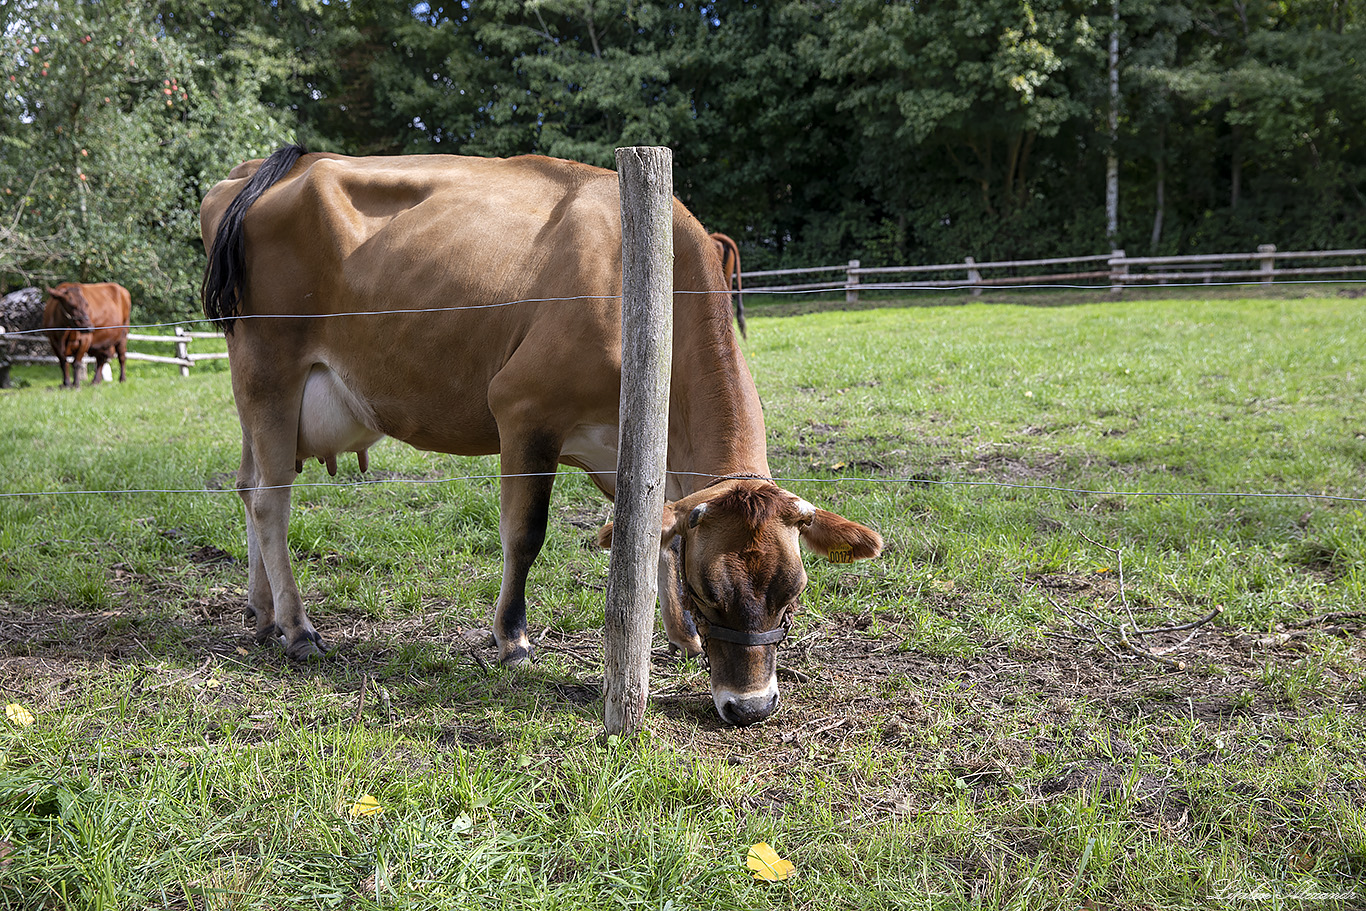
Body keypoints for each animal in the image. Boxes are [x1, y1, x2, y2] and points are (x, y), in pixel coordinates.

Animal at [202, 144, 885, 726]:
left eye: (792, 595)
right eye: (710, 591)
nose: (750, 706)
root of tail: (265, 167)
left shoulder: (634, 452)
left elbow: (658, 533)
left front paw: (679, 635)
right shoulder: (525, 410)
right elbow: (525, 534)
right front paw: (512, 637)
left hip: (257, 392)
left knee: (247, 487)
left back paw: (261, 614)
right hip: (269, 367)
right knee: (271, 501)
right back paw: (297, 628)